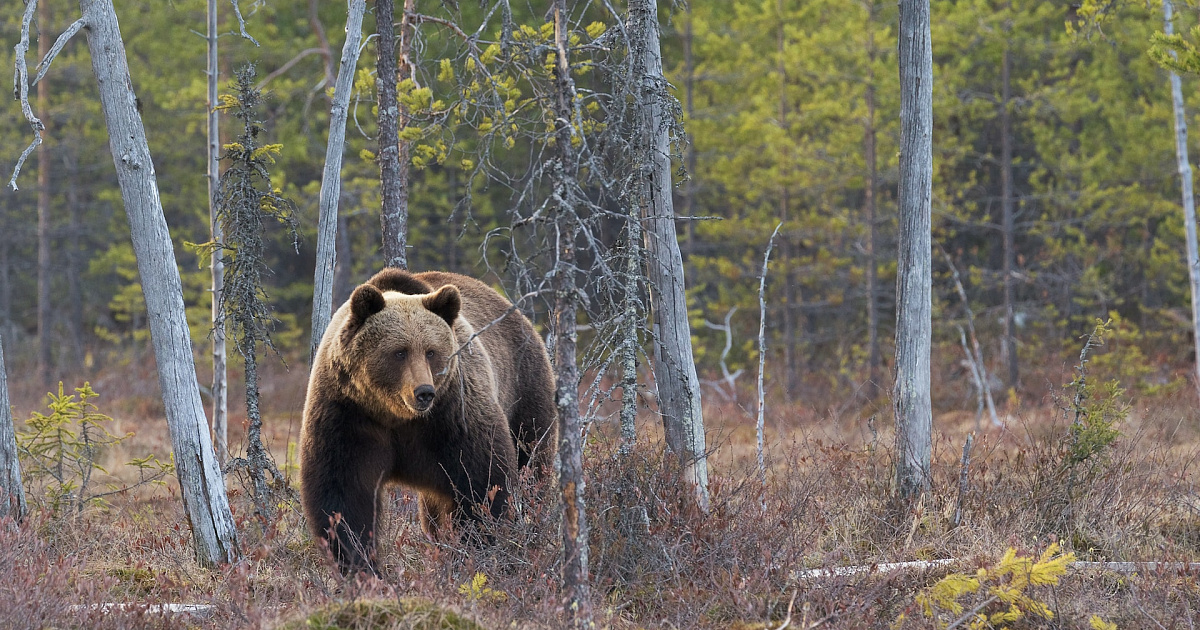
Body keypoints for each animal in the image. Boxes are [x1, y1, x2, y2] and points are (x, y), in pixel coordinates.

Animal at [302, 267, 559, 571]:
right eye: (399, 352)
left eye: (431, 351)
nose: (424, 392)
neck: (396, 415)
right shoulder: (347, 414)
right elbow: (343, 494)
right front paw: (360, 564)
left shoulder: (453, 415)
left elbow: (483, 483)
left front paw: (475, 550)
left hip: (525, 391)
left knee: (531, 465)